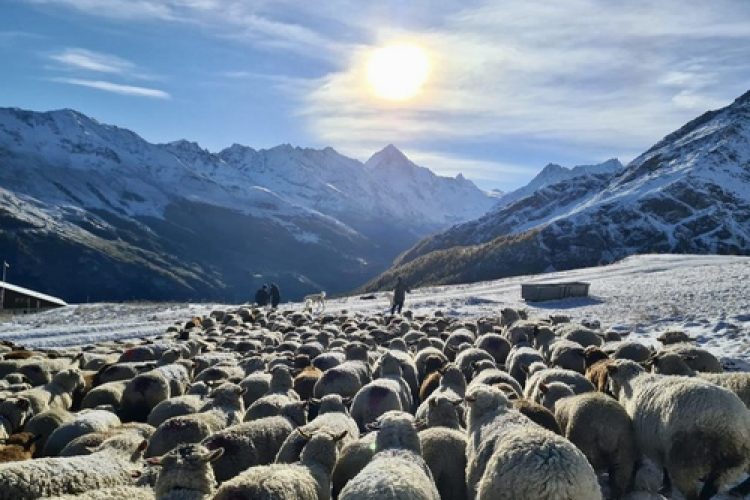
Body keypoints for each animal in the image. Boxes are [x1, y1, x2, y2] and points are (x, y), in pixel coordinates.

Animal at [608, 360, 750, 500]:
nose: (608, 391)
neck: (632, 380)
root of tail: (733, 427)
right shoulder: (660, 445)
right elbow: (664, 468)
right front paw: (665, 487)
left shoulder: (648, 441)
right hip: (728, 466)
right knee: (710, 490)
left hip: (685, 459)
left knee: (693, 492)